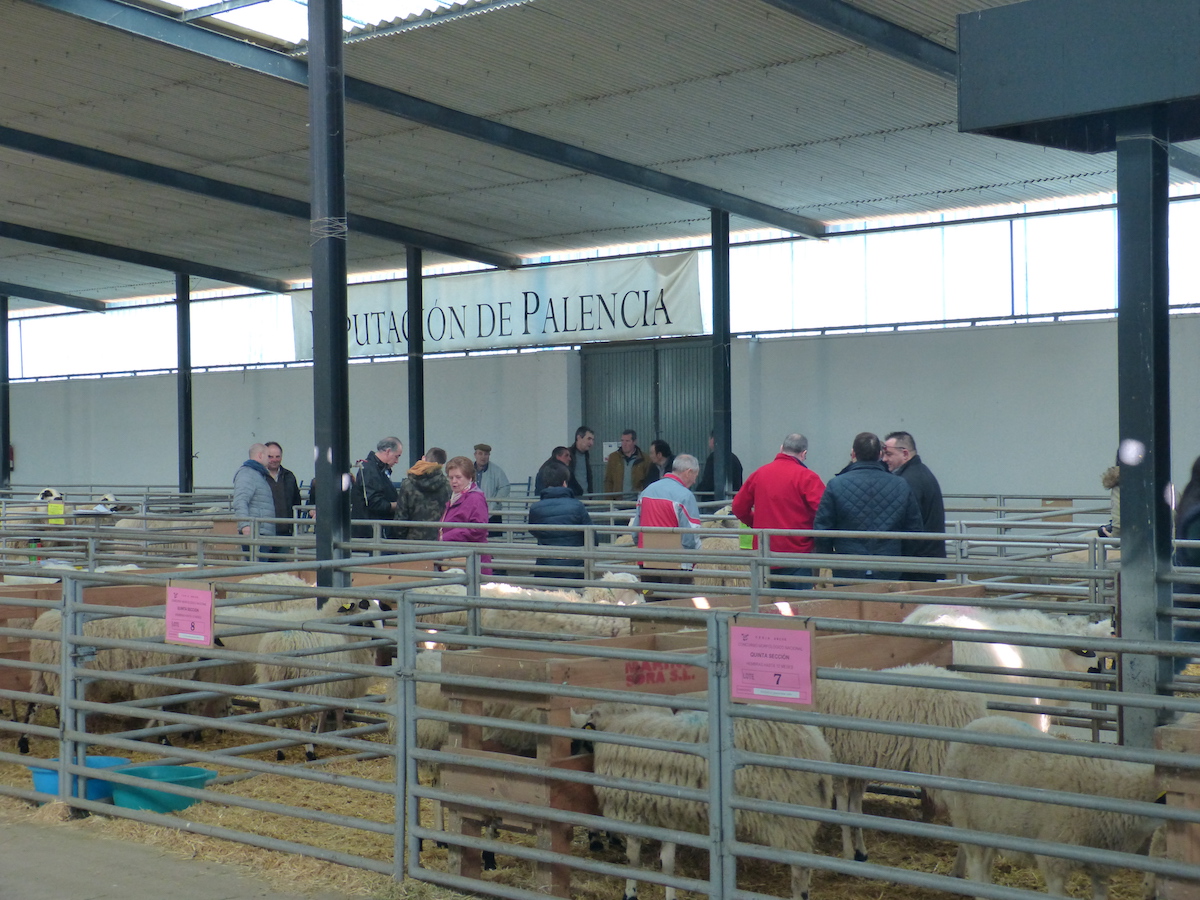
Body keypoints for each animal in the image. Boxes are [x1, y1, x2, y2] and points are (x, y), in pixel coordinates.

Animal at [591, 706, 833, 900]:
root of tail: (819, 747)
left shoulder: (631, 810)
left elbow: (632, 861)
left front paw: (629, 894)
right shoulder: (668, 815)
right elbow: (667, 863)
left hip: (790, 818)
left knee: (800, 870)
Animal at [812, 664, 988, 862]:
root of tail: (977, 705)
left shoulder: (837, 764)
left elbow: (843, 811)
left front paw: (848, 853)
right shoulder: (858, 768)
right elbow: (855, 810)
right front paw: (861, 851)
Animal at [942, 715, 1162, 899]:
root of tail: (977, 722)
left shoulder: (1101, 865)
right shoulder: (1054, 860)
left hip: (989, 825)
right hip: (966, 820)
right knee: (976, 868)